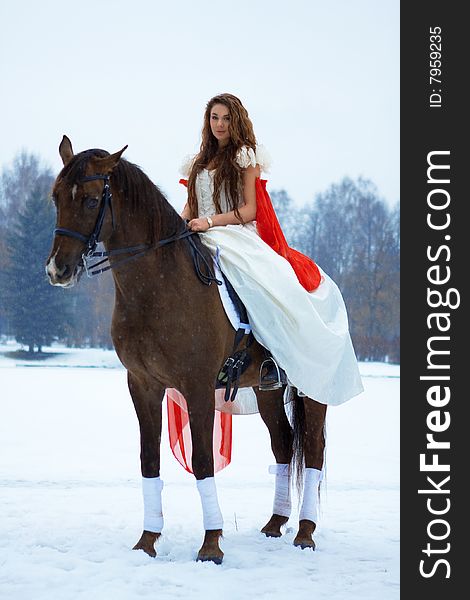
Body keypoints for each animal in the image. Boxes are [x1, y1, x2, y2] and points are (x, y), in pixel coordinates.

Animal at [47, 136, 326, 564]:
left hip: (314, 389)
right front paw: (147, 541)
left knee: (312, 450)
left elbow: (202, 460)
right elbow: (149, 459)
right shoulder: (143, 384)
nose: (57, 270)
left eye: (92, 201)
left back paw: (306, 533)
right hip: (268, 389)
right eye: (57, 197)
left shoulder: (197, 387)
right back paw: (275, 524)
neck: (158, 285)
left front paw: (211, 544)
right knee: (282, 444)